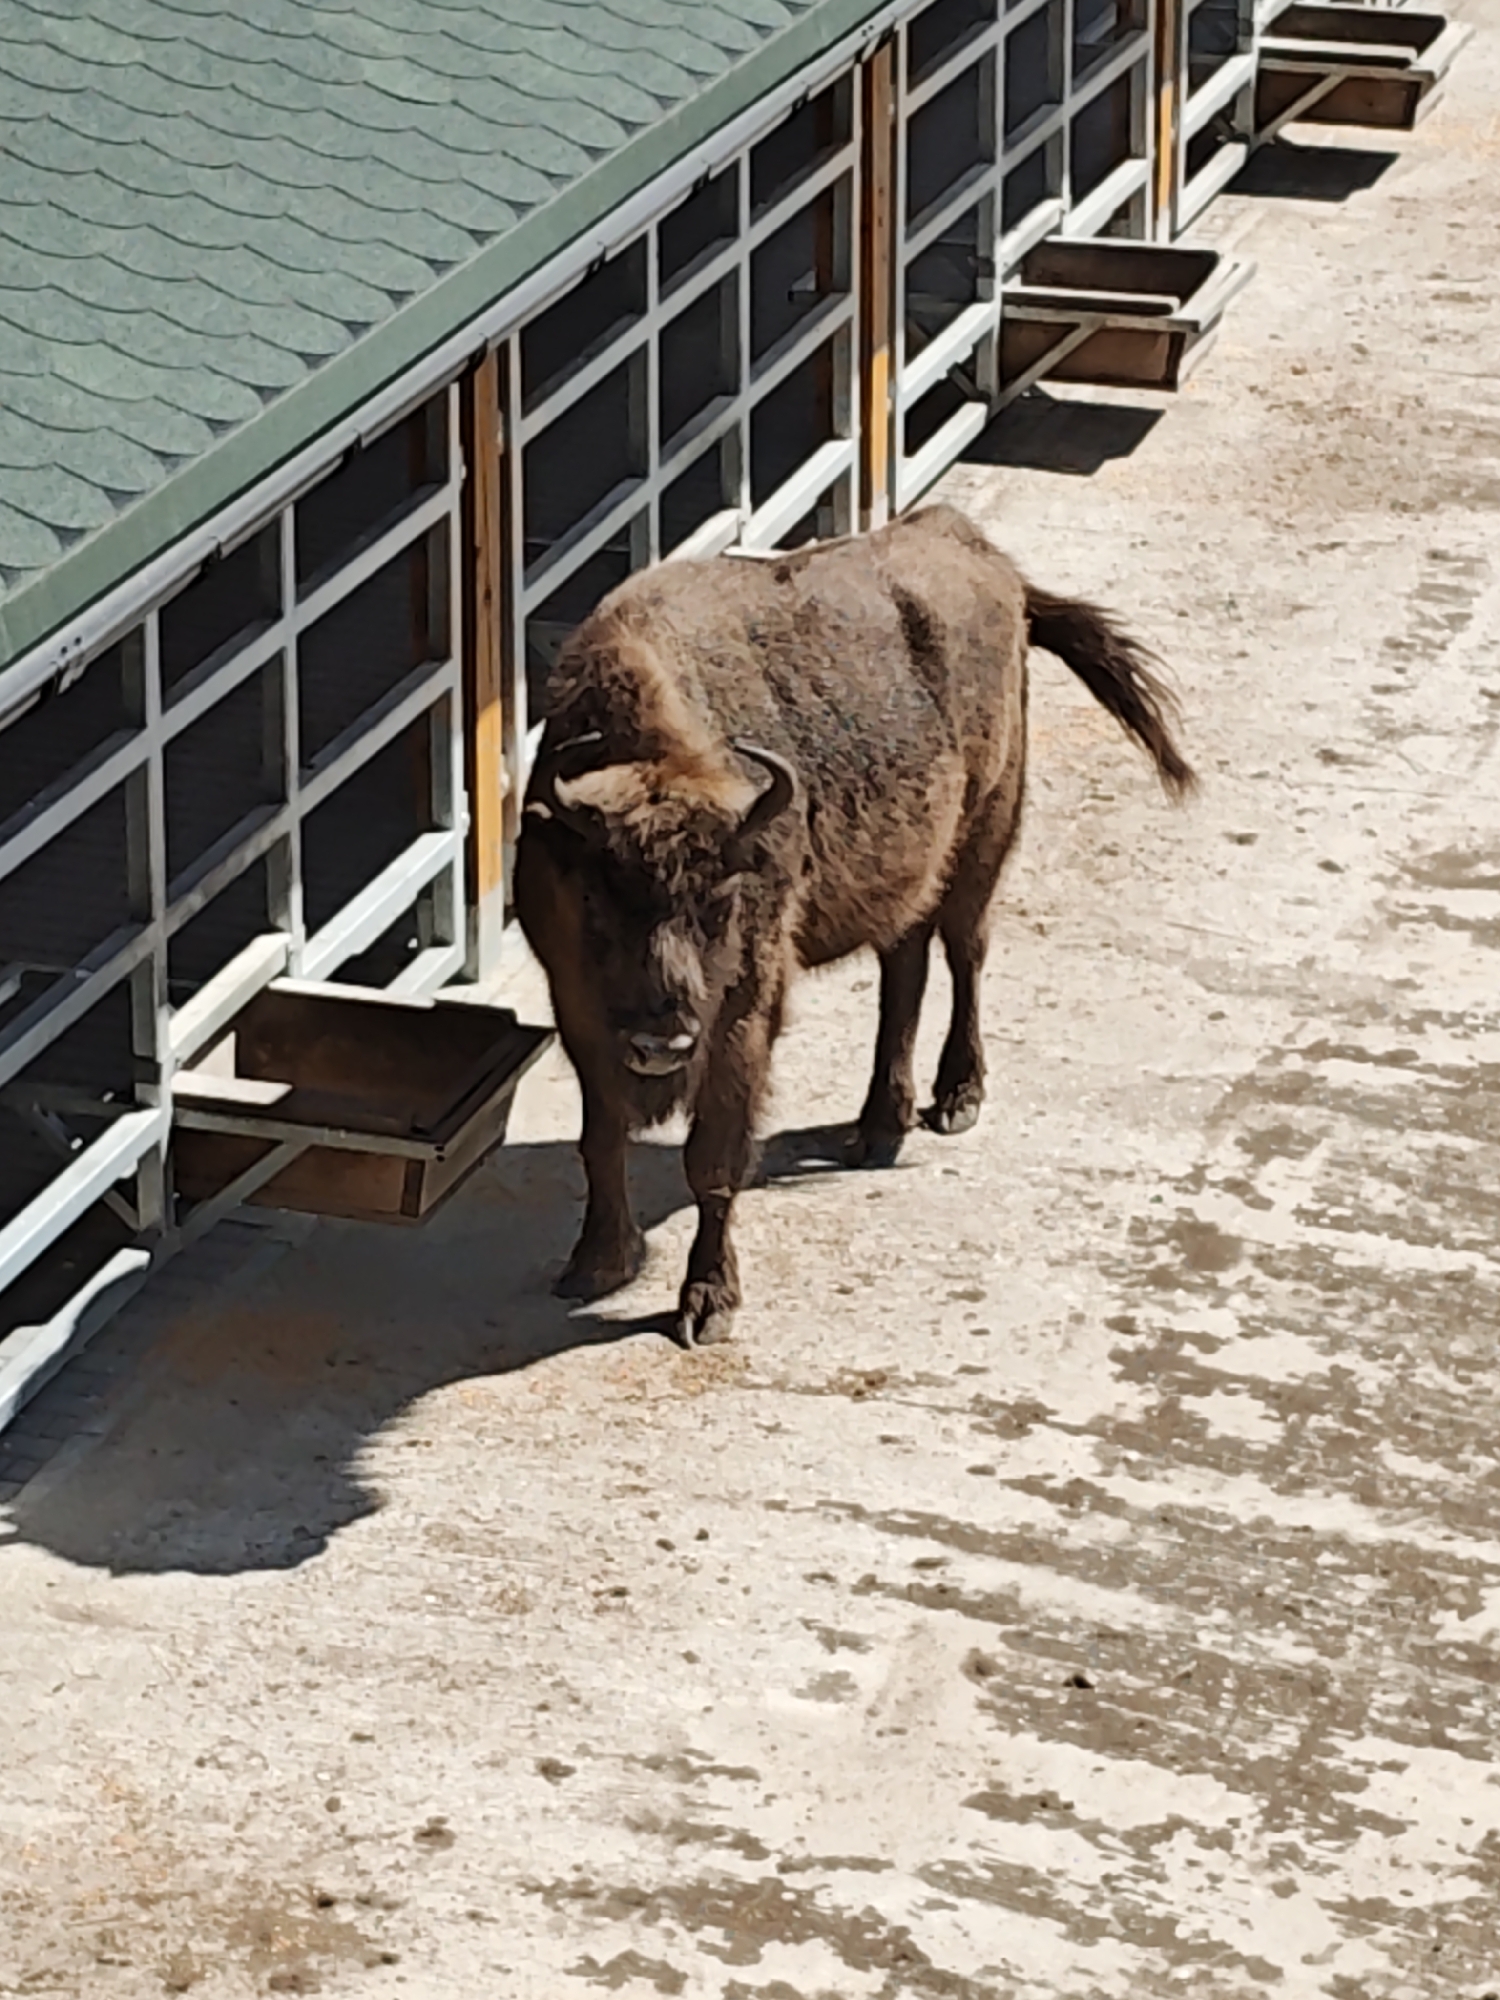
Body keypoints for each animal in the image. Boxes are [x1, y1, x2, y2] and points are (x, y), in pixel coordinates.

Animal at [515, 503, 1193, 1346]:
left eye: (722, 902)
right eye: (597, 903)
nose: (662, 1040)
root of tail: (979, 551)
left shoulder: (744, 1011)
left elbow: (713, 1159)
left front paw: (708, 1303)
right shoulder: (578, 1009)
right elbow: (599, 1139)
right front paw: (596, 1264)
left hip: (987, 831)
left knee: (964, 954)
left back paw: (956, 1099)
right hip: (915, 876)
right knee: (905, 971)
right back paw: (877, 1128)